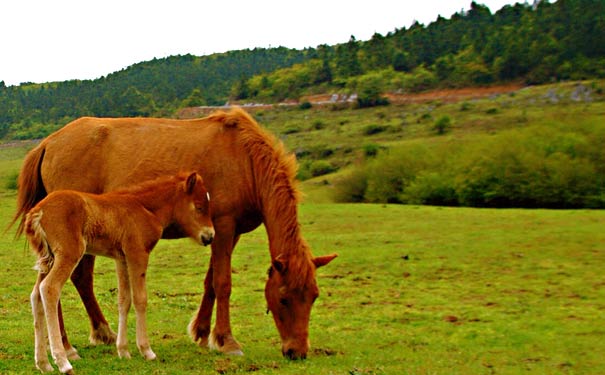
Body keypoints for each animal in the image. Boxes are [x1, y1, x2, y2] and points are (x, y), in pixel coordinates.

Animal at [26, 172, 215, 374]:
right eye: (199, 207)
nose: (210, 236)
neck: (145, 207)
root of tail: (38, 210)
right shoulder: (138, 253)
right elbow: (140, 299)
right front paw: (146, 351)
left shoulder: (121, 258)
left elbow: (124, 300)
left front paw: (123, 351)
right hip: (68, 254)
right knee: (49, 289)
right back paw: (63, 362)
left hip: (48, 259)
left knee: (36, 295)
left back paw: (43, 363)